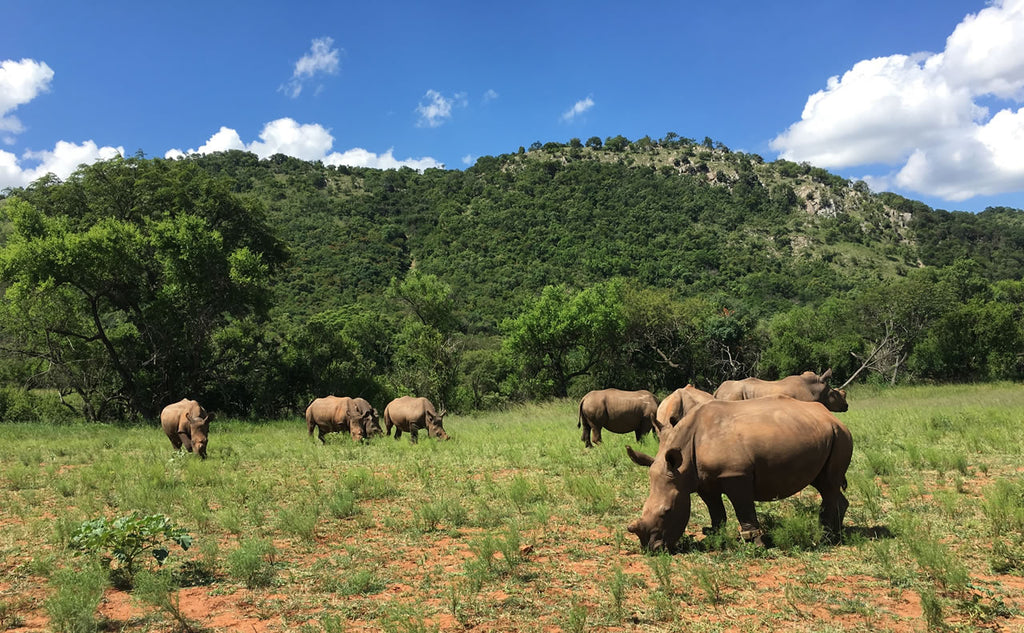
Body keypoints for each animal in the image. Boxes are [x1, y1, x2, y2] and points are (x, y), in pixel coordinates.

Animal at [627, 395, 853, 552]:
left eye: (667, 511)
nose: (652, 549)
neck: (681, 467)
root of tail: (833, 417)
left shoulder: (735, 474)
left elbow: (743, 509)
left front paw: (756, 544)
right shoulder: (702, 481)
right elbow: (716, 511)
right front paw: (715, 537)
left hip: (840, 435)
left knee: (829, 485)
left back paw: (826, 538)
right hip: (823, 434)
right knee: (823, 483)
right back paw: (833, 533)